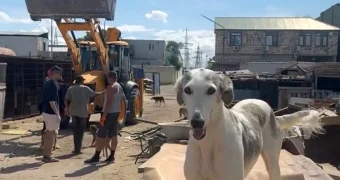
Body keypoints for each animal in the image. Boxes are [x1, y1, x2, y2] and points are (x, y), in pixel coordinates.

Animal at [175, 68, 324, 180]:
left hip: (273, 163)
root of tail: (272, 113)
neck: (208, 142)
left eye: (211, 90)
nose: (197, 122)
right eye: (187, 90)